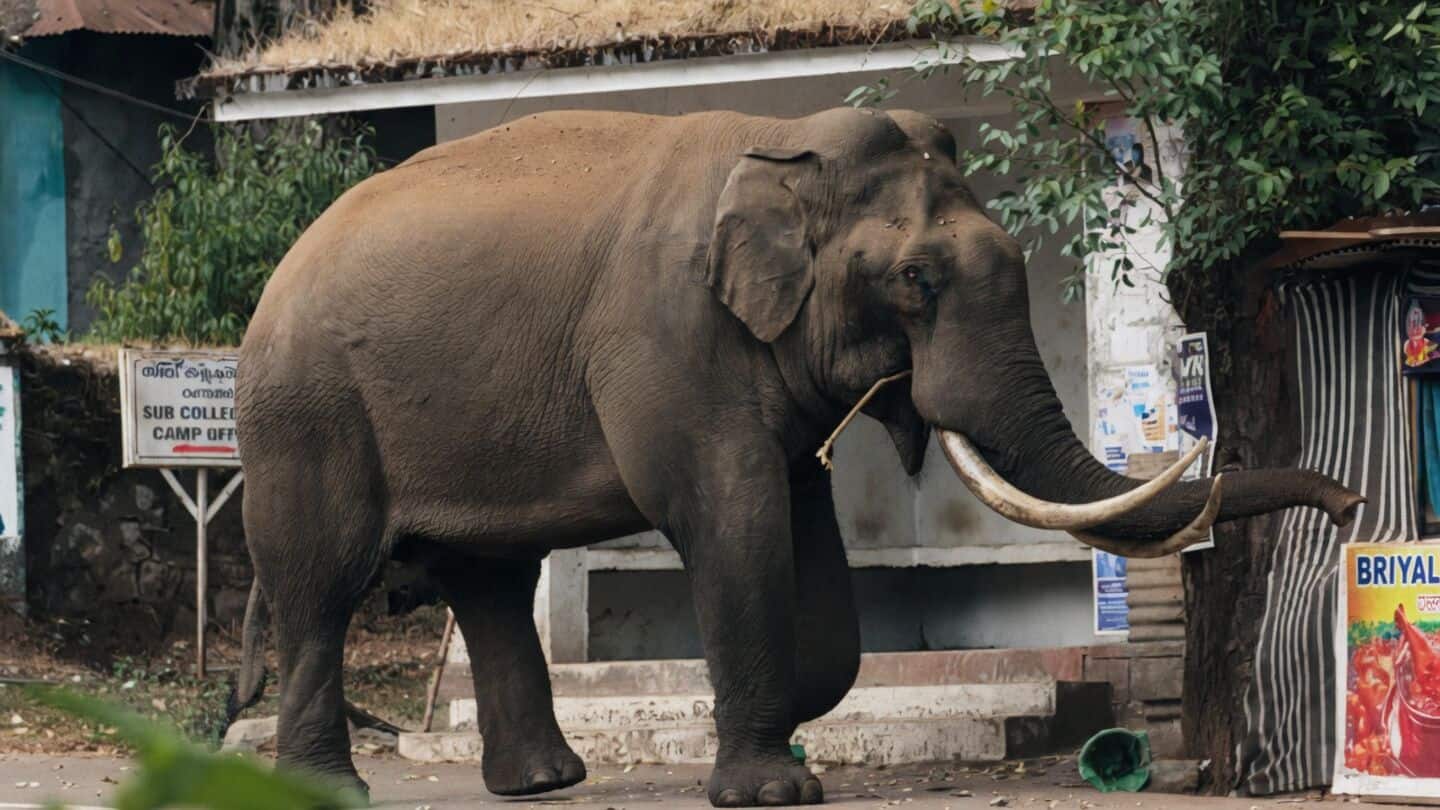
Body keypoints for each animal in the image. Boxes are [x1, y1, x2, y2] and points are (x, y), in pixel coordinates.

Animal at [232, 107, 1363, 807]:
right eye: (916, 282)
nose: (1352, 504)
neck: (778, 146)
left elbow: (804, 531)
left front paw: (783, 712)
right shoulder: (669, 339)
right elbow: (731, 518)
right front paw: (774, 786)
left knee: (491, 582)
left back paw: (545, 782)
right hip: (305, 415)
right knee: (321, 588)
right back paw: (328, 788)